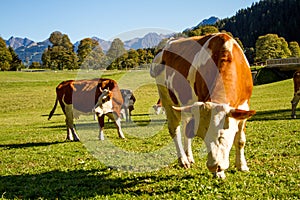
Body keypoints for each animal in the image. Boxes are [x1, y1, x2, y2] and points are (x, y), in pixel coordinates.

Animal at [150, 32, 255, 178]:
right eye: (203, 137)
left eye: (221, 136)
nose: (213, 166)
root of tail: (165, 47)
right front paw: (219, 173)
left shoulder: (244, 107)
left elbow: (240, 140)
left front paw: (242, 166)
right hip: (166, 98)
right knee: (174, 129)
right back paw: (183, 160)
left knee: (186, 129)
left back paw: (189, 157)